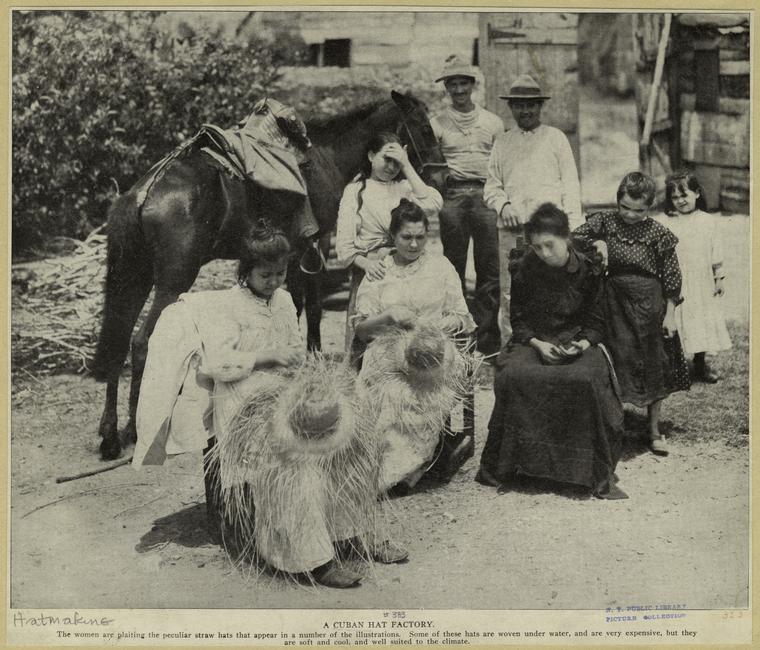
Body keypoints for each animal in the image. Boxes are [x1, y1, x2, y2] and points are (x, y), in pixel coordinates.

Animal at [90, 91, 446, 458]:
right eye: (423, 127)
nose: (441, 177)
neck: (326, 154)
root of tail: (144, 192)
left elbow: (294, 306)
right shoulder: (313, 246)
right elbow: (311, 308)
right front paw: (310, 359)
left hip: (135, 278)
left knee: (118, 343)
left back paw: (111, 436)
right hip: (172, 281)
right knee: (141, 344)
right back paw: (135, 428)